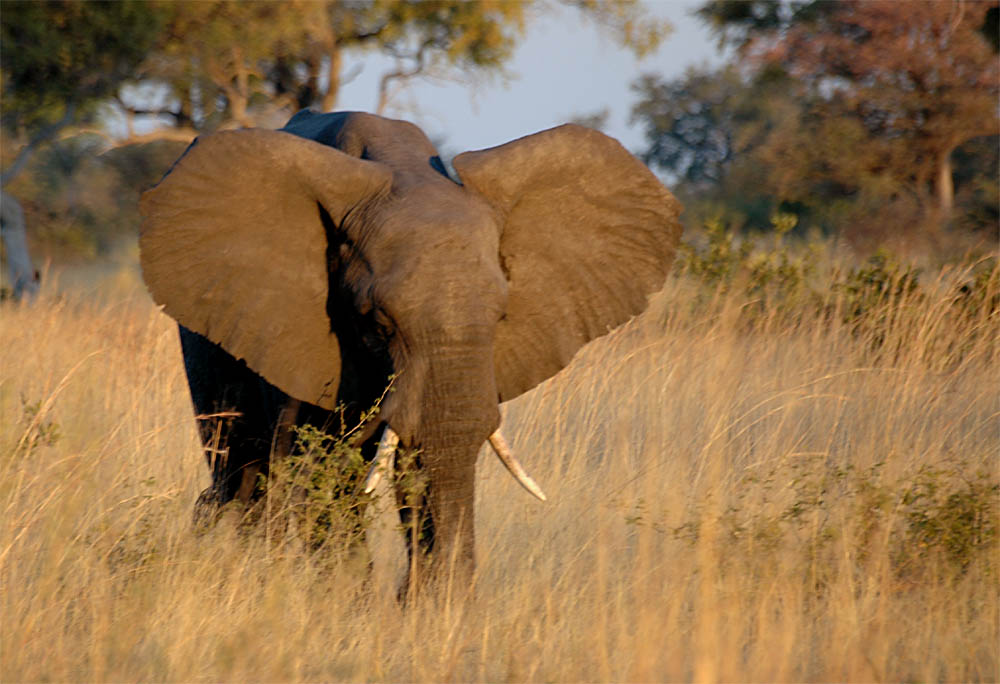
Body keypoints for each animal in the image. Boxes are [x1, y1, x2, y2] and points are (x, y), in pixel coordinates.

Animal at [141, 109, 684, 592]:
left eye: (501, 317)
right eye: (379, 323)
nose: (420, 597)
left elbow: (413, 458)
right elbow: (311, 464)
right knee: (241, 463)